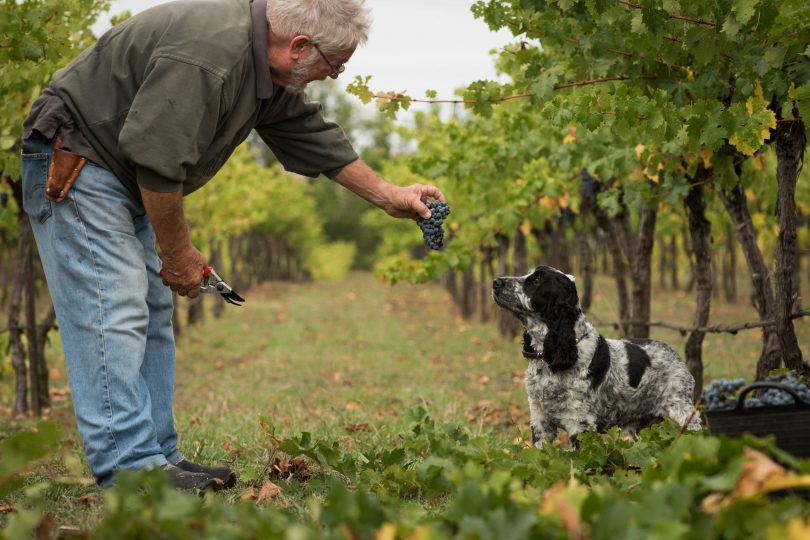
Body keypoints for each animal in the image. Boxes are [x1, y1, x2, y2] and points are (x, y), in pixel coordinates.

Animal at [490, 264, 696, 448]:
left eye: (537, 280)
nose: (495, 282)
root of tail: (677, 357)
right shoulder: (540, 422)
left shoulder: (580, 423)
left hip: (684, 414)